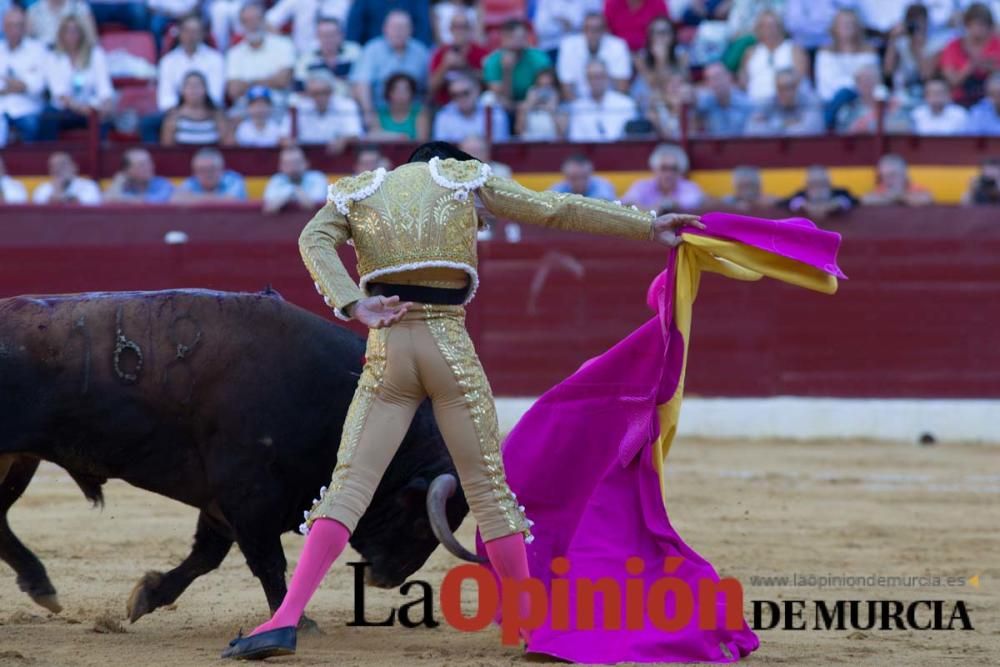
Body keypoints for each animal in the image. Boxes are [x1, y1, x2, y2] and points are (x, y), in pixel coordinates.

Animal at [0, 288, 480, 628]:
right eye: (418, 523)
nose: (388, 578)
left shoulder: (223, 501)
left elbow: (206, 557)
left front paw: (148, 595)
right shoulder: (248, 492)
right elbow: (267, 560)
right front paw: (296, 623)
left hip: (18, 460)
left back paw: (41, 585)